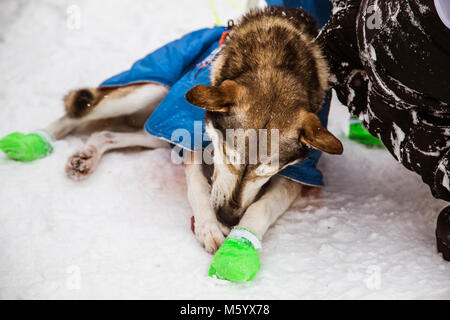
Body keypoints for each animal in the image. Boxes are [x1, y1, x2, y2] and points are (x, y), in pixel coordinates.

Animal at [32, 6, 344, 252]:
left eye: (268, 169)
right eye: (230, 154)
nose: (228, 217)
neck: (276, 60)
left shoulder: (300, 174)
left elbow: (262, 205)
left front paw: (241, 241)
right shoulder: (187, 135)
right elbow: (197, 187)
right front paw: (208, 225)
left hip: (155, 129)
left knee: (105, 134)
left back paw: (87, 154)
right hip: (150, 93)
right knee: (77, 114)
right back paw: (38, 140)